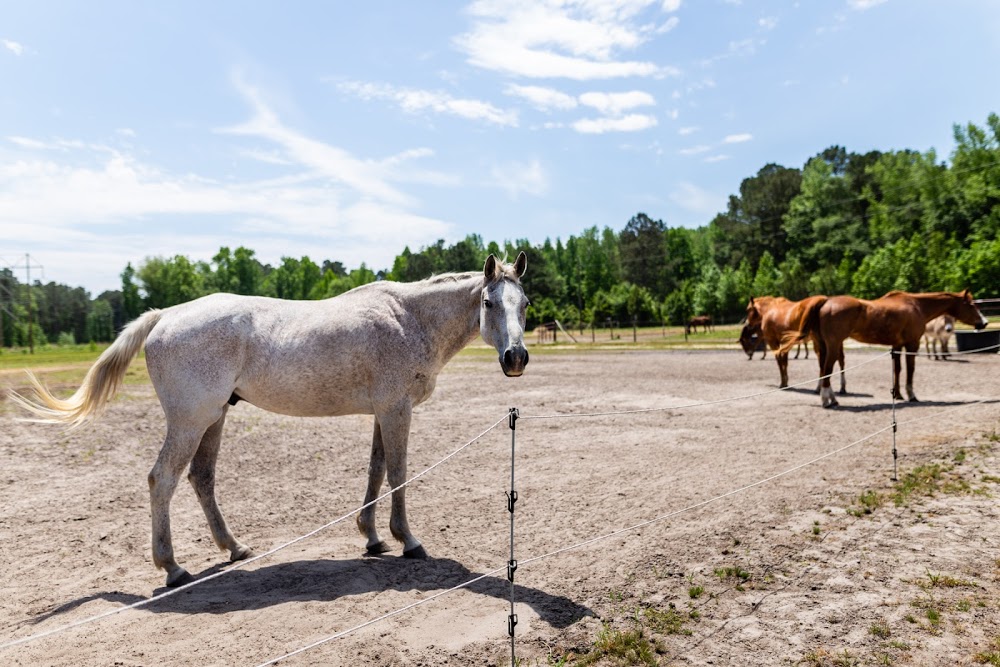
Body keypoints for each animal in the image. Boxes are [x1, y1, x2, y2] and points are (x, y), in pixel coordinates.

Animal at [11, 253, 532, 588]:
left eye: (524, 304)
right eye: (488, 303)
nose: (516, 358)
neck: (409, 318)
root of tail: (165, 316)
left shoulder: (383, 412)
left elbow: (376, 470)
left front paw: (372, 538)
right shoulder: (396, 410)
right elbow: (399, 474)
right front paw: (408, 541)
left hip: (214, 419)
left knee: (201, 478)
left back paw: (234, 548)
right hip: (190, 421)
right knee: (163, 479)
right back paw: (173, 568)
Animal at [780, 290, 984, 408]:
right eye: (971, 304)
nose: (983, 323)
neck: (916, 305)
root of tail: (825, 301)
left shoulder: (897, 345)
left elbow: (898, 369)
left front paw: (898, 394)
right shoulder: (912, 344)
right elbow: (910, 370)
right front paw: (911, 395)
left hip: (823, 346)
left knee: (823, 370)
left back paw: (832, 399)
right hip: (833, 346)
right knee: (827, 370)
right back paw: (826, 400)